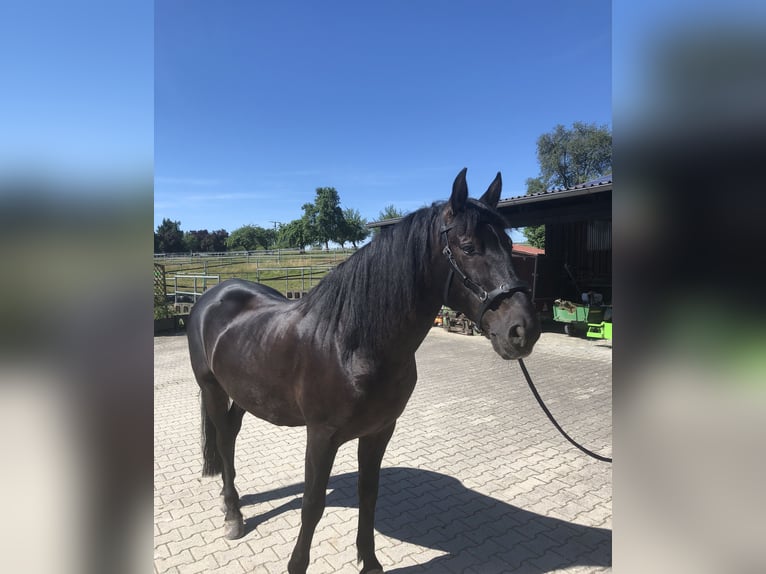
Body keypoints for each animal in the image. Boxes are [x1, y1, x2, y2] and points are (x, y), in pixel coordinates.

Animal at [189, 169, 544, 572]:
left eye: (508, 244)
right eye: (468, 247)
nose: (523, 329)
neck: (352, 344)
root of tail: (212, 296)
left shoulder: (379, 431)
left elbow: (369, 494)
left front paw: (370, 561)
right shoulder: (321, 435)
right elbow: (312, 505)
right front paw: (297, 564)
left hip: (245, 392)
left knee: (231, 435)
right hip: (212, 388)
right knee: (222, 440)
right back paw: (233, 516)